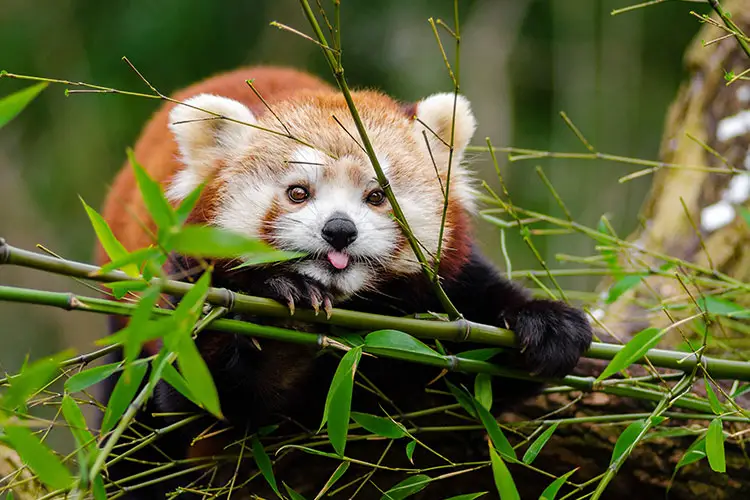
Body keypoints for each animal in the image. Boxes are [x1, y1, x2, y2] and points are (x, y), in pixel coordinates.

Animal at [98, 65, 592, 496]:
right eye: (298, 192)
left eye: (376, 196)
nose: (339, 229)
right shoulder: (193, 287)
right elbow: (198, 395)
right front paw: (286, 312)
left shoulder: (448, 291)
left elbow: (483, 363)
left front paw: (549, 325)